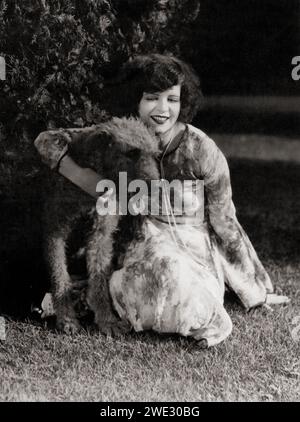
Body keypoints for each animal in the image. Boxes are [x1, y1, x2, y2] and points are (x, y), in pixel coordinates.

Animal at [34, 117, 159, 334]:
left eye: (155, 154)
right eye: (132, 152)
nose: (158, 186)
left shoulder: (100, 235)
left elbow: (99, 277)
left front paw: (106, 320)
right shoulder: (55, 232)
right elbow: (59, 275)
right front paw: (66, 318)